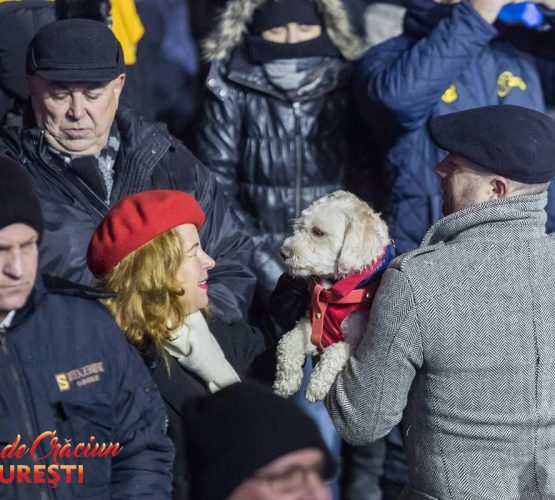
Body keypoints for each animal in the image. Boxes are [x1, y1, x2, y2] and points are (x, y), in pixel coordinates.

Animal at [273, 190, 394, 402]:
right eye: (299, 228)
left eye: (319, 233)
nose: (283, 252)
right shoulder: (312, 325)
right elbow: (289, 341)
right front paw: (286, 381)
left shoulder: (356, 344)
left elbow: (335, 351)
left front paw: (317, 385)